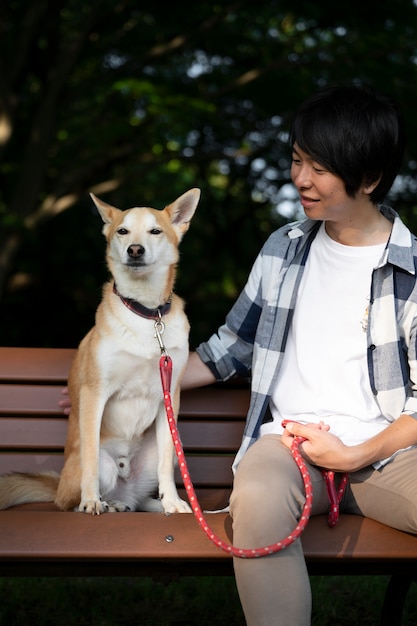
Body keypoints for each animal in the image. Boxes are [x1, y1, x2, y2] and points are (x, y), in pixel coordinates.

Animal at [0, 186, 200, 512]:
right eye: (123, 231)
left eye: (155, 231)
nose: (135, 250)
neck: (146, 313)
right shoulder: (95, 393)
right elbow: (92, 459)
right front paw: (91, 501)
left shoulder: (169, 397)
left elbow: (167, 463)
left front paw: (173, 501)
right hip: (88, 475)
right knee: (72, 497)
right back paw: (103, 502)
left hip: (169, 442)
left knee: (142, 496)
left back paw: (149, 505)